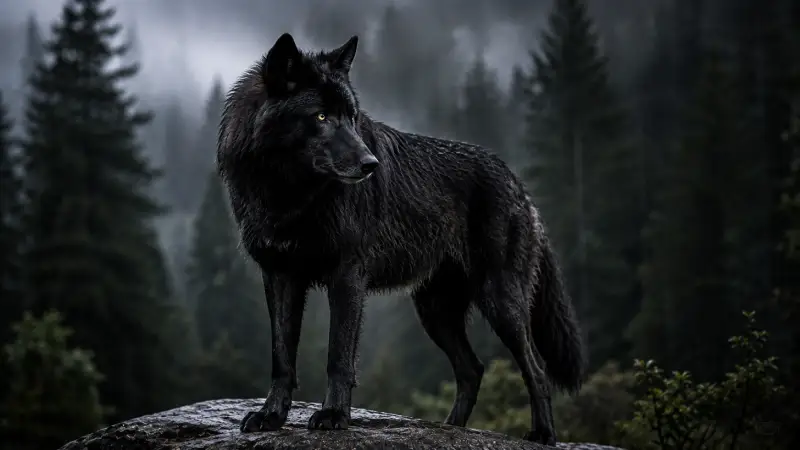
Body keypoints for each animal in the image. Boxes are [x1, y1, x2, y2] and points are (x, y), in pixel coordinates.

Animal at [217, 32, 586, 445]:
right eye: (321, 117)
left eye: (352, 117)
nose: (370, 164)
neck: (289, 195)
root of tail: (517, 182)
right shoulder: (280, 277)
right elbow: (281, 358)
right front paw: (271, 416)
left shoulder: (347, 277)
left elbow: (338, 358)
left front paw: (333, 416)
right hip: (435, 312)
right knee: (473, 369)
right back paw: (450, 428)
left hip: (500, 303)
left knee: (535, 368)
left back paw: (542, 434)